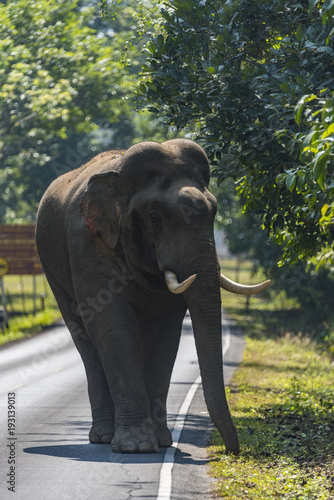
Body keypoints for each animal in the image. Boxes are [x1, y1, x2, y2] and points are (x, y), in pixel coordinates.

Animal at [36, 139, 268, 456]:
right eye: (154, 217)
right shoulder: (86, 243)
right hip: (52, 271)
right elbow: (112, 325)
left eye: (213, 212)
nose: (231, 451)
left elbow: (165, 332)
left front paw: (161, 442)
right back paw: (103, 437)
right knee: (86, 341)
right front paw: (136, 448)